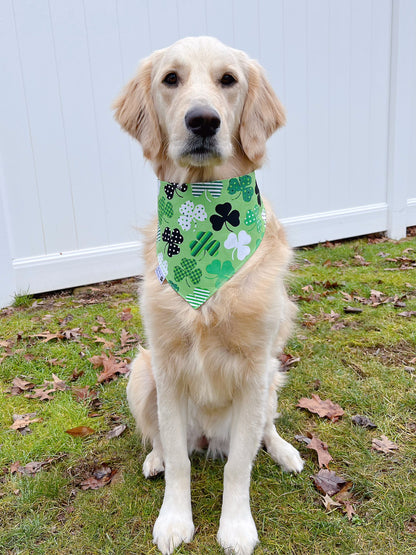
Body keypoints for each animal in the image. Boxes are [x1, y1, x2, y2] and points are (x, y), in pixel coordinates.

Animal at [114, 35, 302, 555]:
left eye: (228, 80)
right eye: (171, 79)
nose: (202, 120)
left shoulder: (255, 368)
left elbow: (239, 465)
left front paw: (236, 527)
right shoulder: (167, 365)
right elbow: (179, 462)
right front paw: (174, 520)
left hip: (272, 379)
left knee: (263, 432)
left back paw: (285, 452)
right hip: (140, 374)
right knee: (164, 441)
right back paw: (155, 458)